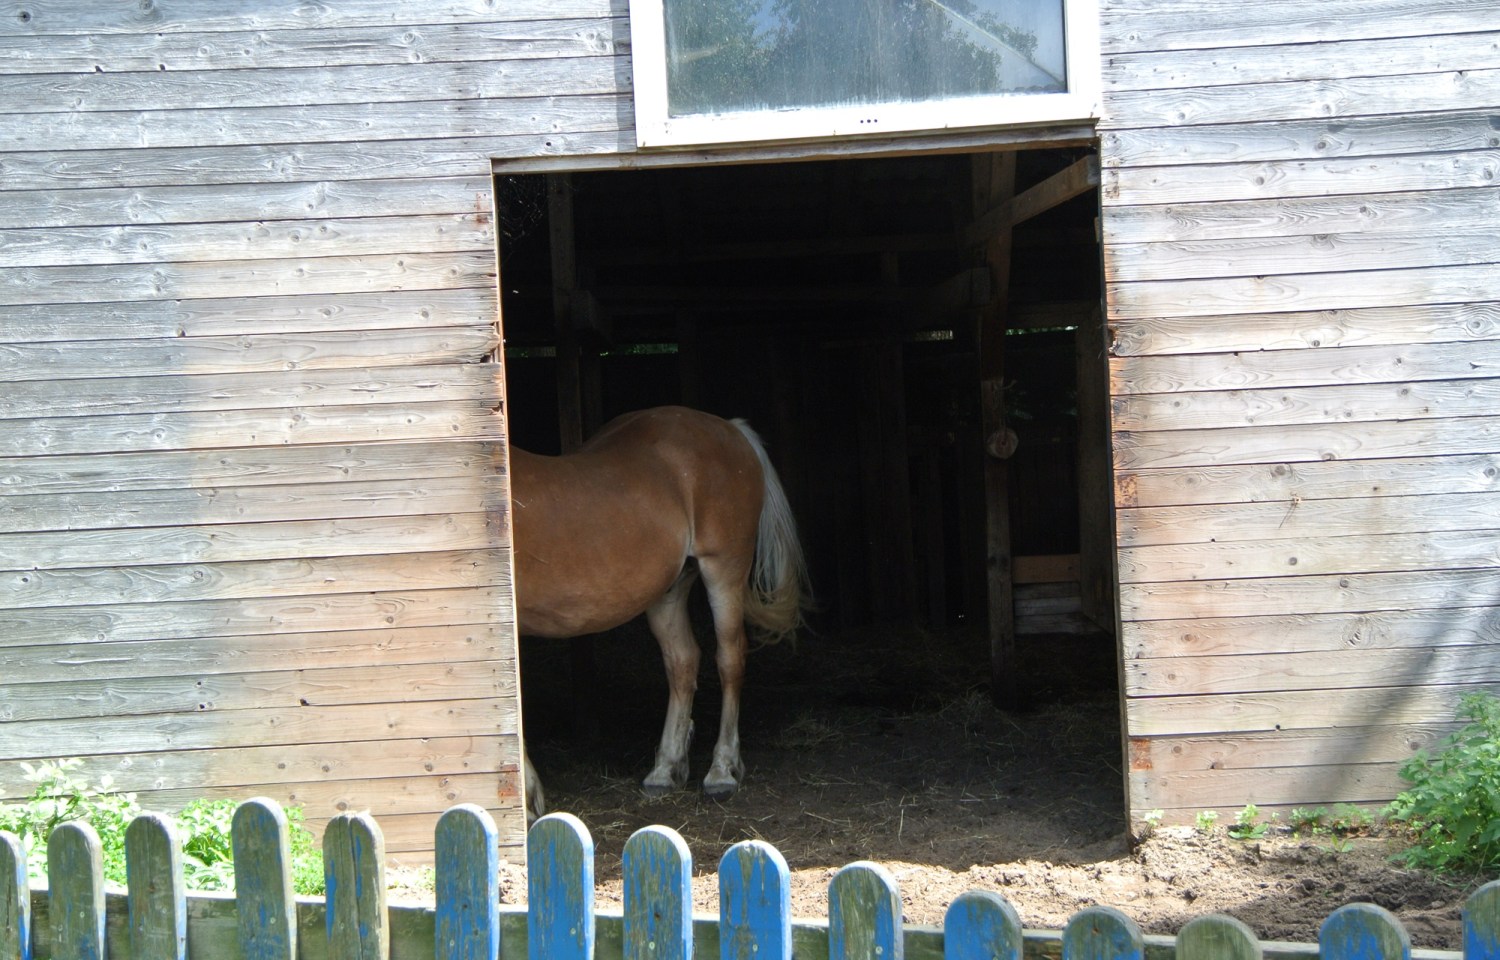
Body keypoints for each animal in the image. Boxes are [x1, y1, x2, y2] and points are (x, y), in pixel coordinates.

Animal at [509, 406, 808, 816]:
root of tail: (731, 429)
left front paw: (526, 798)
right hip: (669, 590)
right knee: (682, 662)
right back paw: (665, 769)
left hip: (724, 569)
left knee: (730, 659)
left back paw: (721, 772)